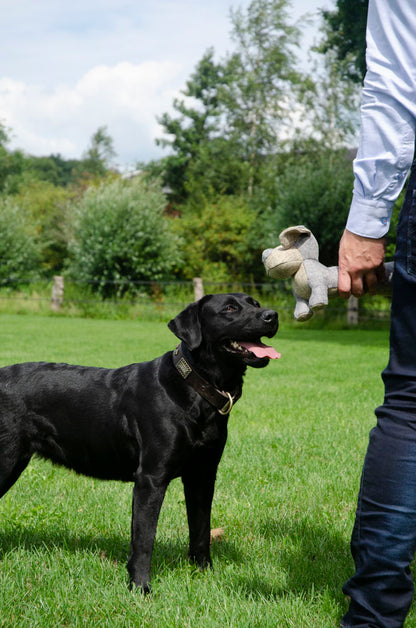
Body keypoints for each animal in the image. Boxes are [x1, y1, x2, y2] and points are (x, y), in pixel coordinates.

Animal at [0, 292, 280, 592]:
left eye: (255, 303)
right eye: (229, 308)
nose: (272, 315)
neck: (194, 389)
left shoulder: (203, 475)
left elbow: (201, 528)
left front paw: (204, 573)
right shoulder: (150, 479)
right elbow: (144, 538)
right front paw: (140, 587)